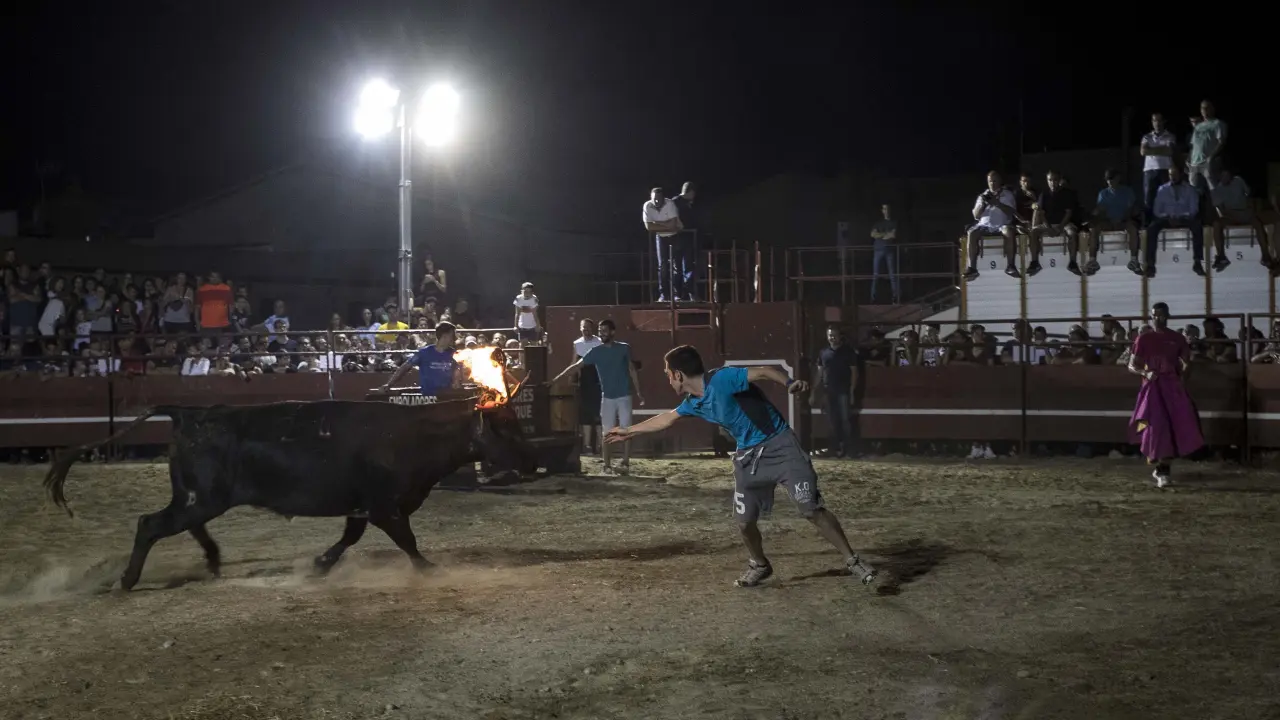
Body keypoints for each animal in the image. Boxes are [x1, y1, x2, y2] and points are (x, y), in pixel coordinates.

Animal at [42, 395, 537, 591]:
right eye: (506, 427)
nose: (533, 464)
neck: (410, 434)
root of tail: (190, 412)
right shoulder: (383, 506)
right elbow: (407, 540)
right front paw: (430, 569)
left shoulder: (362, 507)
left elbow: (350, 538)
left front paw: (319, 565)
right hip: (201, 498)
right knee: (150, 525)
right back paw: (127, 580)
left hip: (197, 498)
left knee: (186, 526)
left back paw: (214, 561)